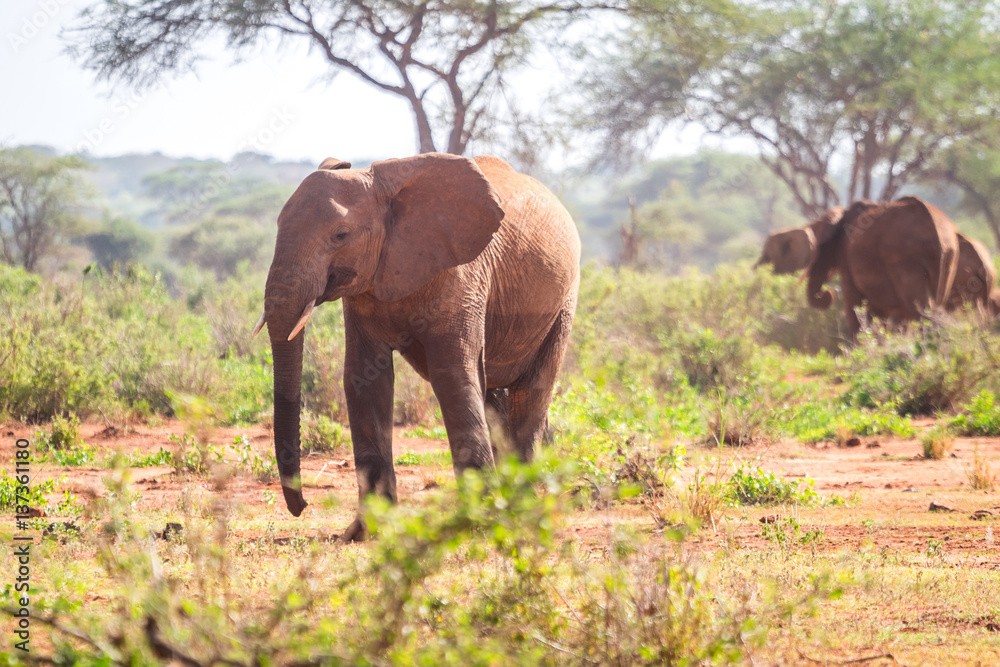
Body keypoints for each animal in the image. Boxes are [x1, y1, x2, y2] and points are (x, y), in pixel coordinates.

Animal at [254, 154, 584, 540]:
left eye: (340, 235)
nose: (302, 506)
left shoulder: (463, 275)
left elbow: (452, 376)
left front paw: (477, 524)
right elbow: (363, 379)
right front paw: (365, 532)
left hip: (564, 300)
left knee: (531, 391)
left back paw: (523, 506)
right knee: (494, 395)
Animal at [804, 196, 960, 336]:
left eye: (822, 247)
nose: (828, 292)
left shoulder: (847, 258)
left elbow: (854, 304)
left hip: (905, 260)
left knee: (922, 309)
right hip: (949, 257)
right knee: (935, 306)